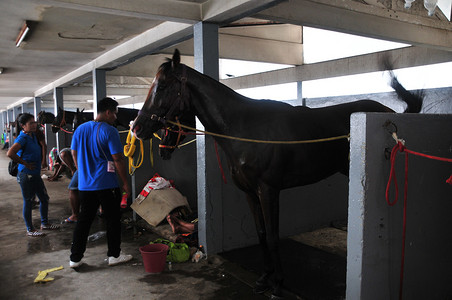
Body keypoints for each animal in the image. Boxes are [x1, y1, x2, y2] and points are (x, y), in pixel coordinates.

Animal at [132, 49, 422, 298]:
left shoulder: (268, 190)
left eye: (163, 86)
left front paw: (278, 284)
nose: (137, 127)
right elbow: (261, 234)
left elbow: (272, 236)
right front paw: (264, 278)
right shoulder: (250, 193)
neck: (245, 130)